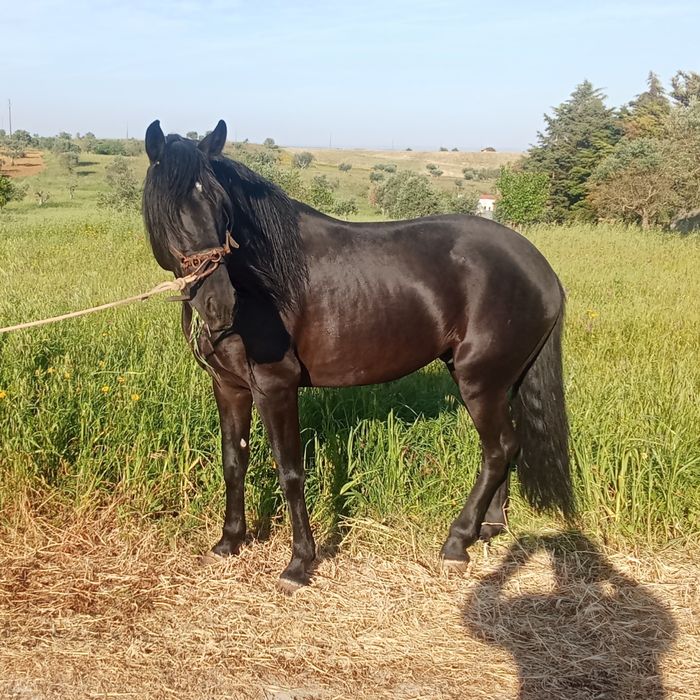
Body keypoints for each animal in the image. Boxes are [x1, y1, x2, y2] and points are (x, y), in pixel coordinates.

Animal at [142, 120, 573, 592]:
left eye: (222, 207)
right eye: (169, 208)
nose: (219, 305)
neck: (262, 283)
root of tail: (540, 268)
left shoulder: (275, 387)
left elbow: (290, 471)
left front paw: (299, 563)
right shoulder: (229, 386)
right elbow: (234, 462)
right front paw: (229, 542)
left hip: (480, 382)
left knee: (498, 449)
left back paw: (457, 542)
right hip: (501, 382)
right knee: (505, 448)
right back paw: (490, 526)